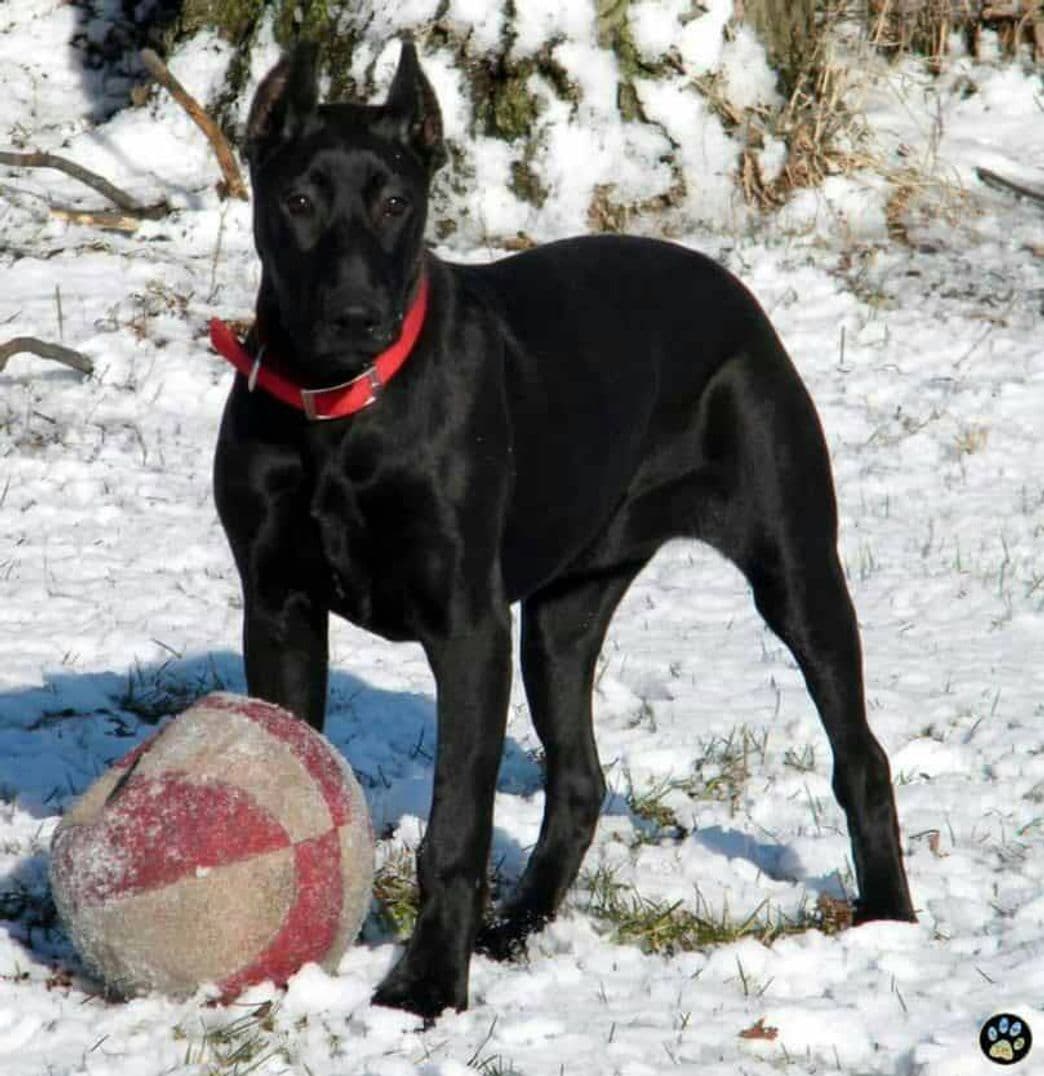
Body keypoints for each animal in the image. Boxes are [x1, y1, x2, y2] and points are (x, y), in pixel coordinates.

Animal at [212, 39, 912, 1015]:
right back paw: (516, 927)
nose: (355, 316)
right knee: (580, 779)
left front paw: (427, 987)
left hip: (795, 569)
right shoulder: (278, 608)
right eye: (298, 201)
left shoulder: (467, 629)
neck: (342, 411)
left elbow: (455, 828)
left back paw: (889, 917)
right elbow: (292, 757)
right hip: (564, 613)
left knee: (861, 756)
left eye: (395, 202)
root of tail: (730, 288)